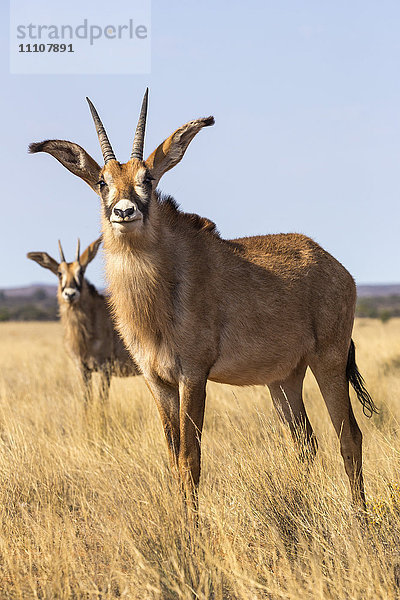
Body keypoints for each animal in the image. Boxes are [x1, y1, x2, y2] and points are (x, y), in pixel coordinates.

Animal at [27, 237, 138, 406]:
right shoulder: (82, 369)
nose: (70, 294)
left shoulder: (106, 369)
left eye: (81, 271)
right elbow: (86, 400)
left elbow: (101, 402)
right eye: (59, 273)